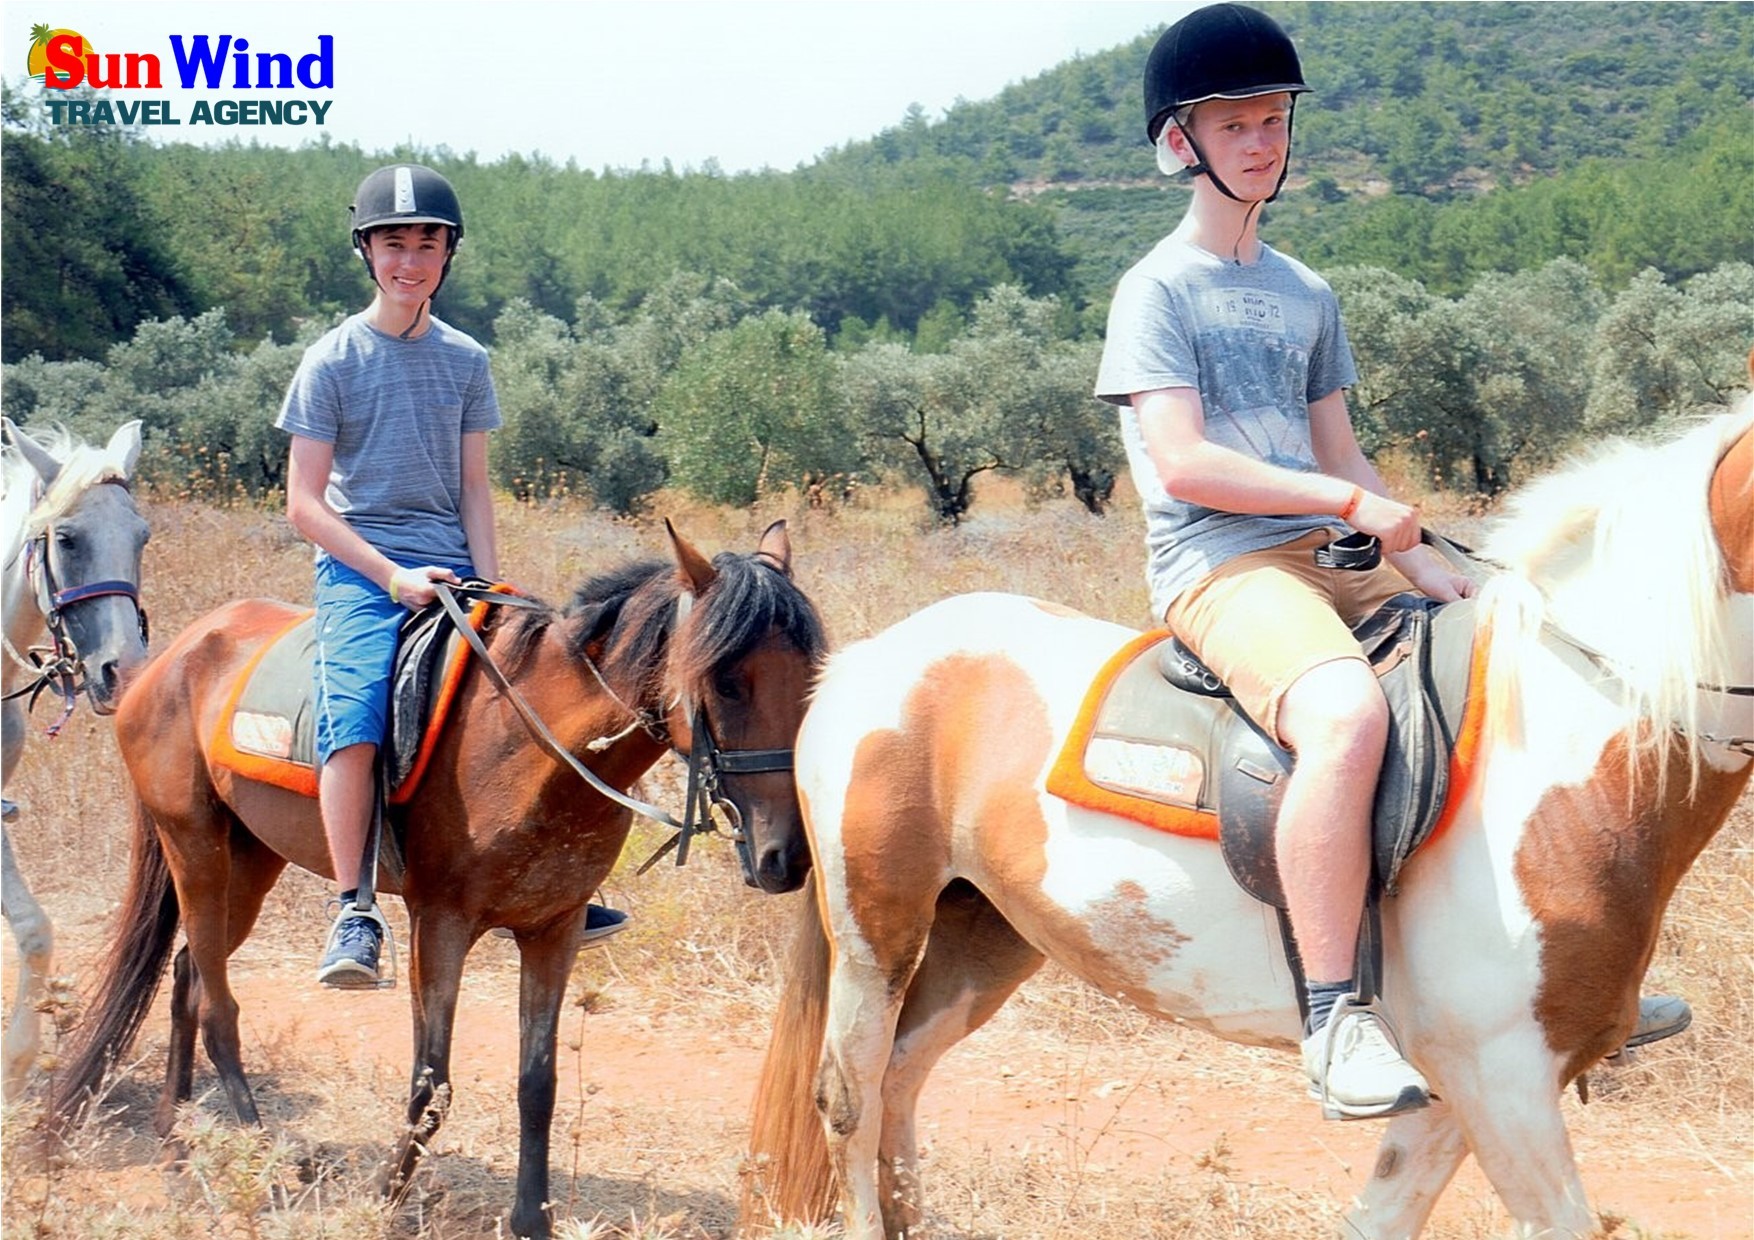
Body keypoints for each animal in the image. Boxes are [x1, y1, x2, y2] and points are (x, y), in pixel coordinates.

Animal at [49, 519, 824, 1240]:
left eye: (812, 675)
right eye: (726, 680)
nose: (787, 857)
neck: (532, 748)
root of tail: (168, 658)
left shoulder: (554, 928)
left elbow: (536, 1082)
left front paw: (531, 1218)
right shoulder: (440, 923)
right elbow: (431, 1081)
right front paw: (385, 1201)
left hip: (250, 857)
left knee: (186, 975)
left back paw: (177, 1138)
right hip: (195, 847)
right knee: (216, 1007)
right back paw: (259, 1154)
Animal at [742, 405, 1753, 1239]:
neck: (1549, 752)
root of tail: (867, 659)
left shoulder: (1456, 1090)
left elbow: (1377, 1222)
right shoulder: (1502, 1075)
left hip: (984, 935)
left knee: (902, 1081)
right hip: (876, 933)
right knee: (850, 1096)